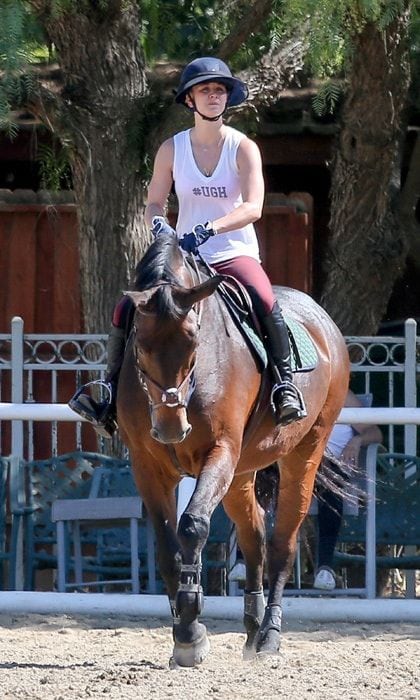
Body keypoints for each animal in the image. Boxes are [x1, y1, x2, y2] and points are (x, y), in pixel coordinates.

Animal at [116, 235, 350, 668]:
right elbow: (167, 546)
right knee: (253, 531)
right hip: (241, 471)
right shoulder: (147, 465)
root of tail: (324, 322)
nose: (171, 429)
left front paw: (191, 630)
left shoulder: (219, 450)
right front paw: (183, 632)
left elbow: (192, 526)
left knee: (282, 541)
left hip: (304, 451)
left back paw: (270, 635)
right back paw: (253, 627)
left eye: (194, 339)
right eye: (138, 342)